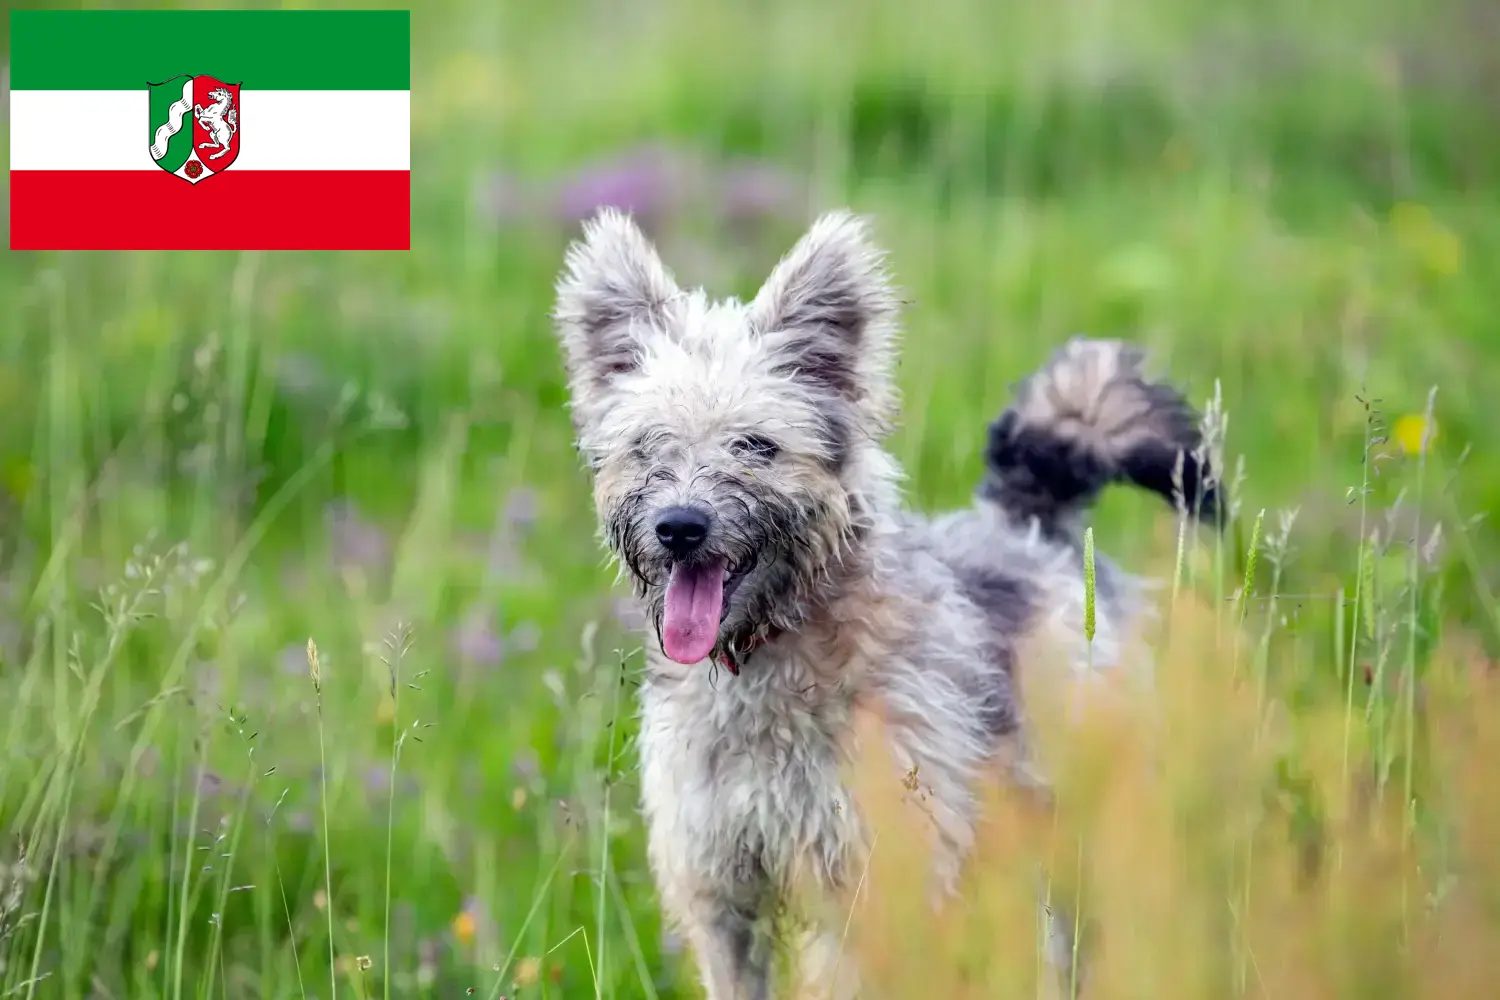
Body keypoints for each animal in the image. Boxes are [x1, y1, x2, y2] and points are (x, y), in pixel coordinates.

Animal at [552, 206, 1218, 995]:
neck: (771, 666)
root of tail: (1028, 521)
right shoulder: (722, 894)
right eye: (647, 445)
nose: (680, 527)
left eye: (756, 445)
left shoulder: (863, 884)